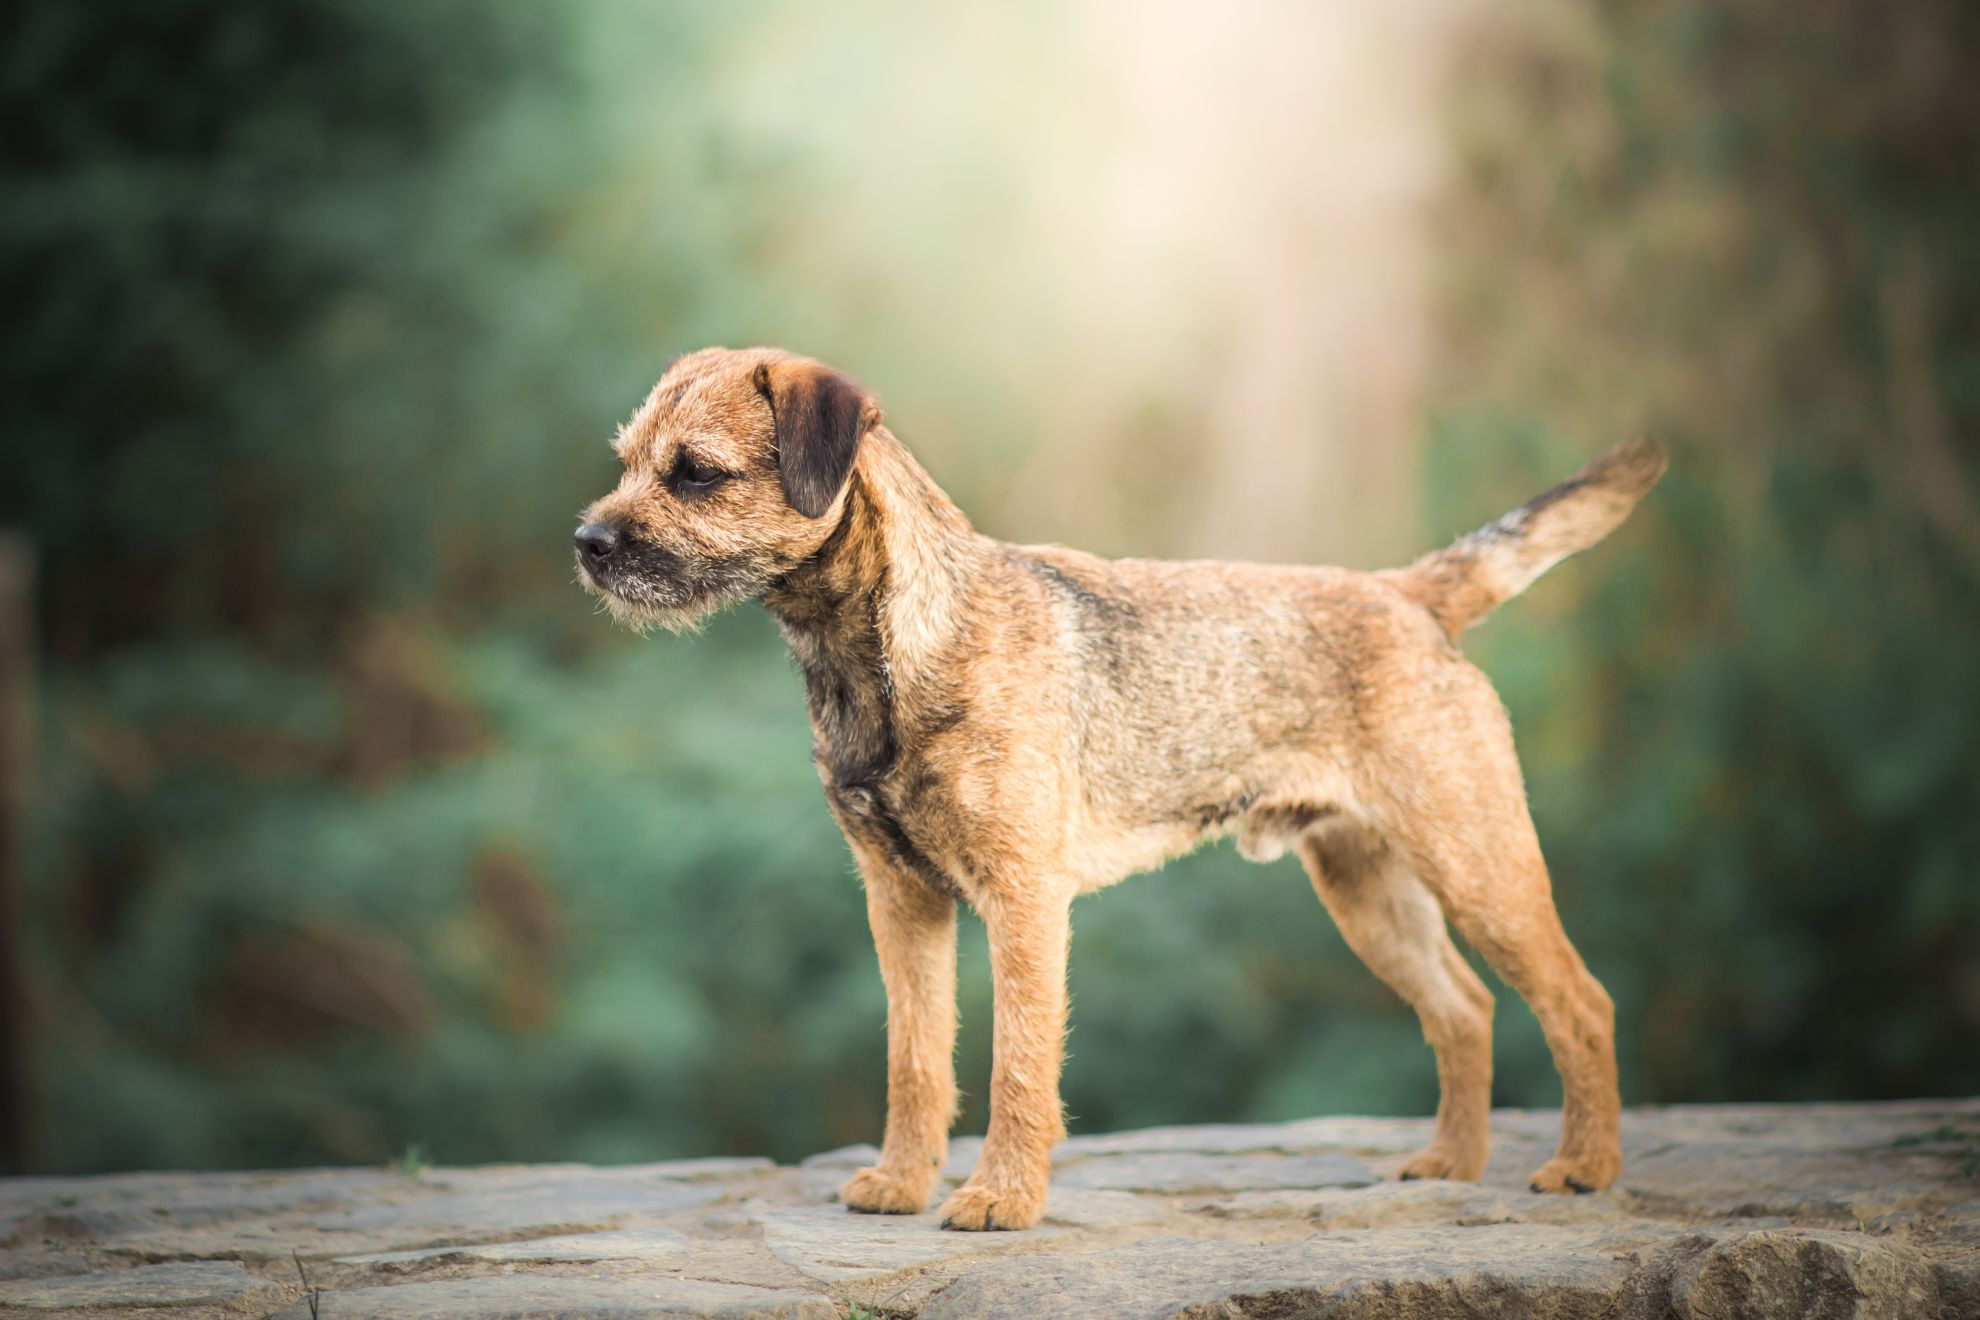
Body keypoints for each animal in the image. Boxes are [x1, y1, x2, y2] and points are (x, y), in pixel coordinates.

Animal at [578, 348, 1671, 1226]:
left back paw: (1584, 1166)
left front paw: (1000, 1201)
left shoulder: (1022, 900)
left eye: (696, 473)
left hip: (1476, 858)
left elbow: (1017, 1064)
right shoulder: (901, 902)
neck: (887, 646)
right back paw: (1451, 1161)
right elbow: (915, 1059)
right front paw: (901, 1183)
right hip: (1367, 890)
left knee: (1580, 1000)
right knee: (1463, 1007)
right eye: (626, 459)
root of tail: (1407, 593)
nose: (586, 543)